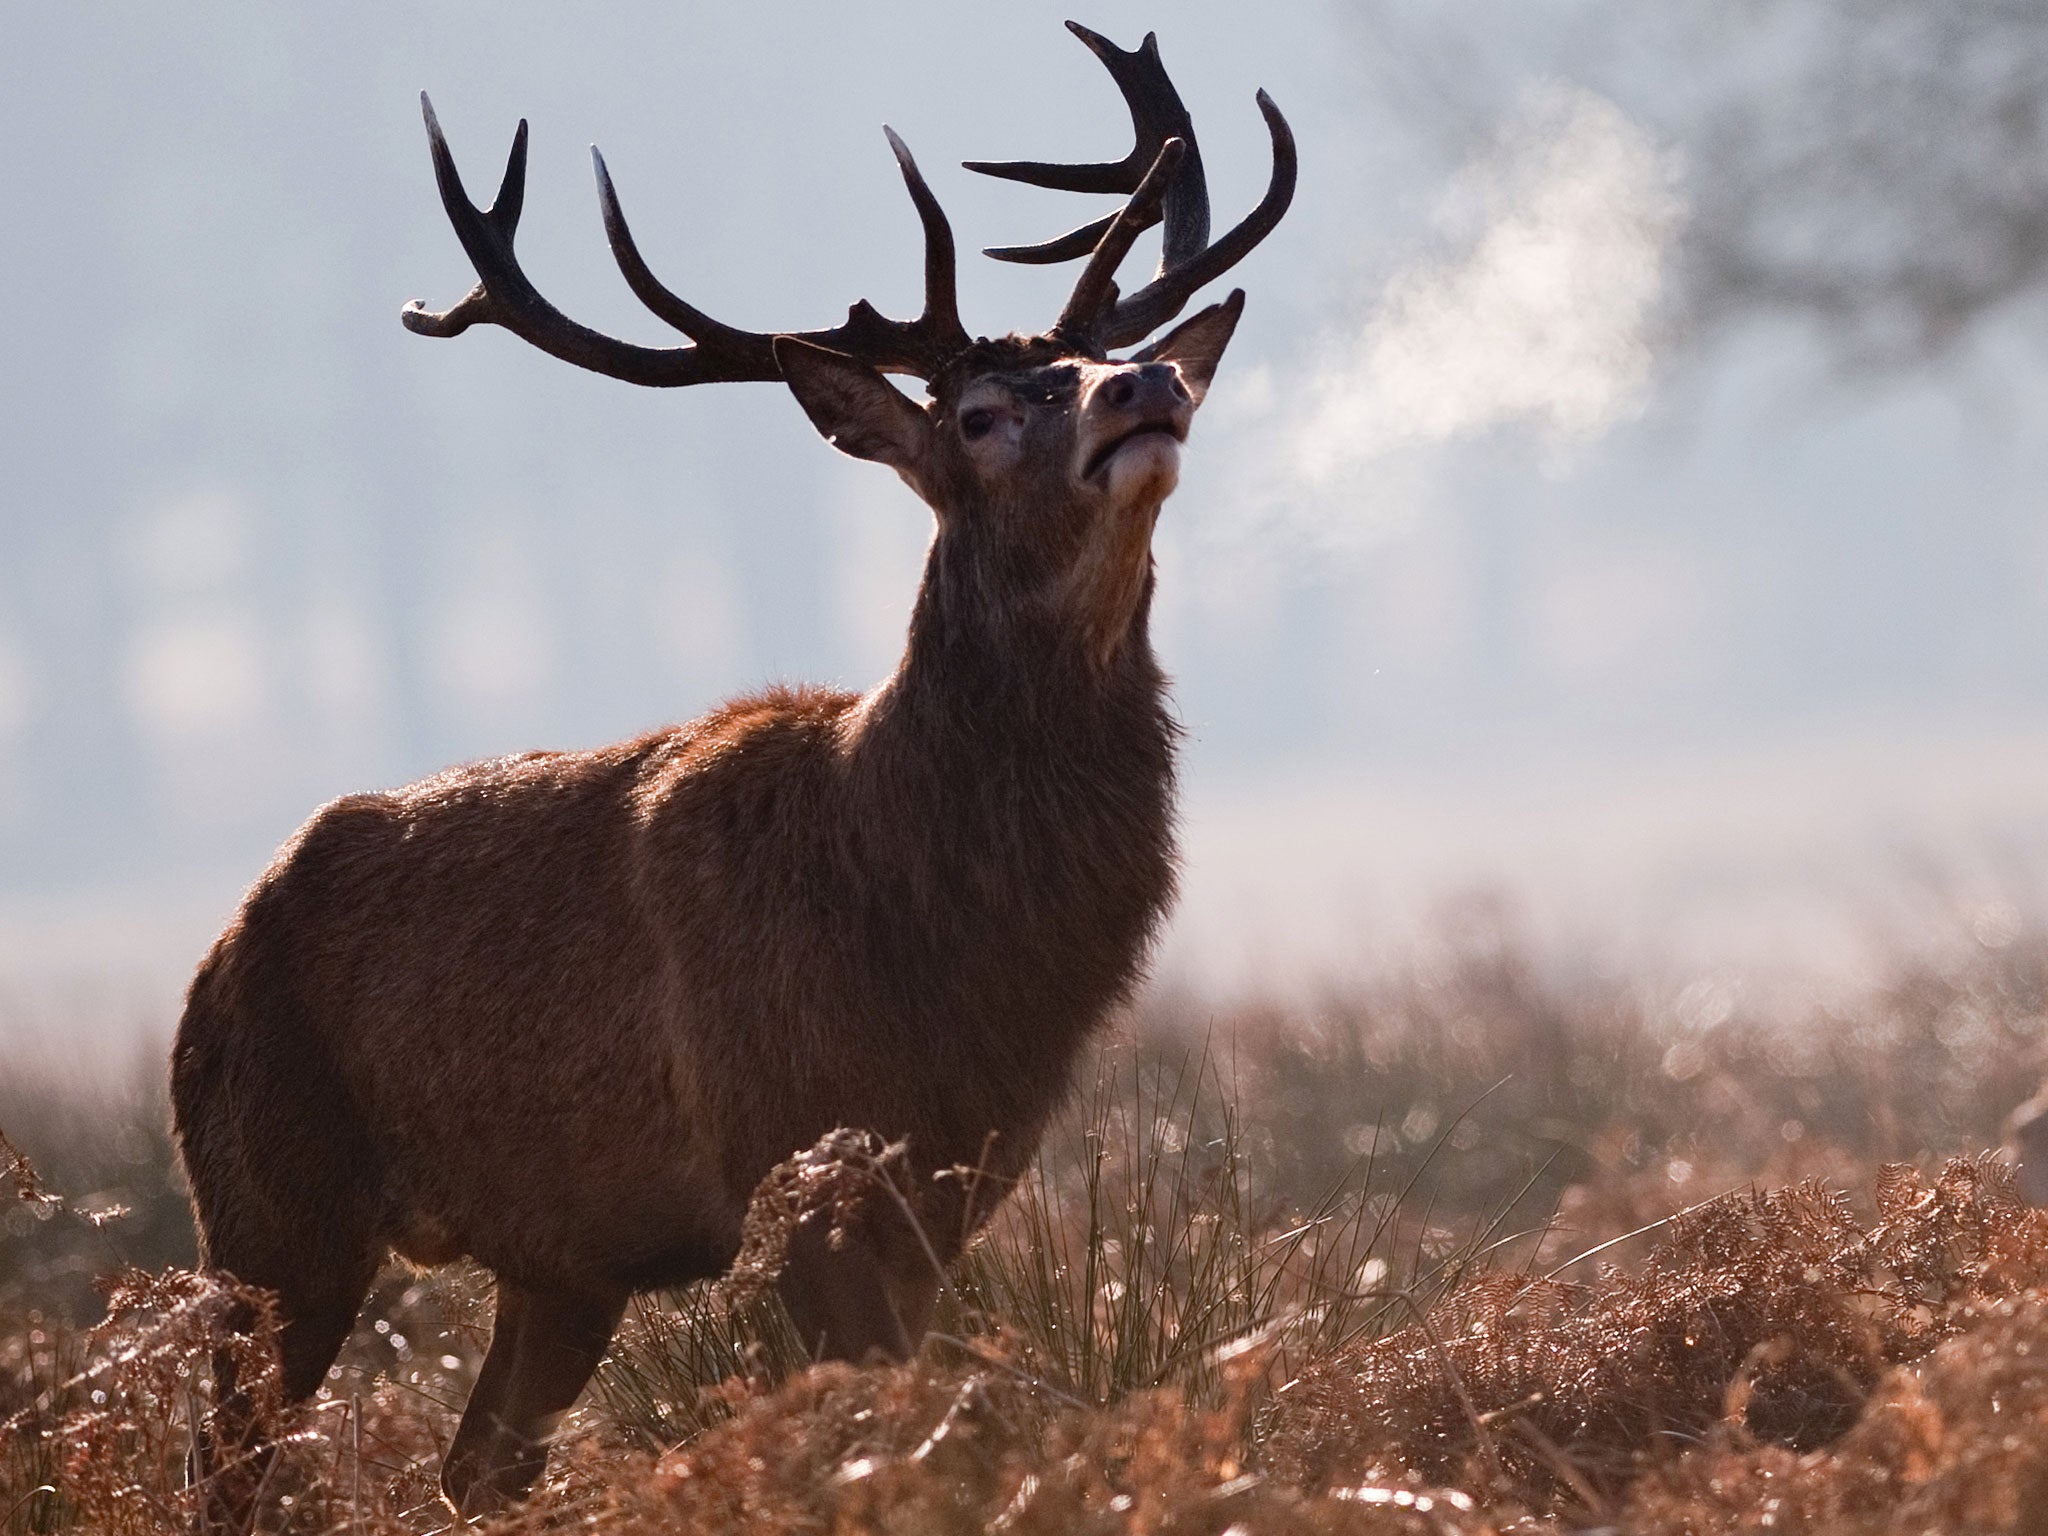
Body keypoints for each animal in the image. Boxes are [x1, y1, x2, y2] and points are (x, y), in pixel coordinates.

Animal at [176, 20, 1294, 1515]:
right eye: (980, 414)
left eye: (1096, 363)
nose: (1148, 383)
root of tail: (217, 959)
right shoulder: (798, 1164)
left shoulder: (958, 1173)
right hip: (266, 1213)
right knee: (222, 1468)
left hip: (552, 1263)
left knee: (473, 1472)